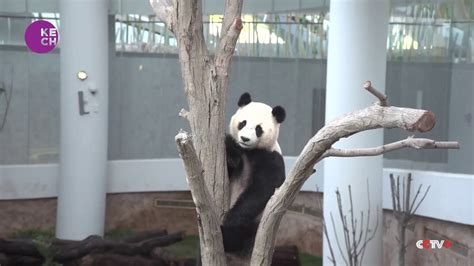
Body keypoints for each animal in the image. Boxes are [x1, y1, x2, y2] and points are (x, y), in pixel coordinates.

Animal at [221, 92, 286, 256]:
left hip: (255, 223)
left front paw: (230, 220)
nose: (244, 139)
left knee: (241, 232)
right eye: (243, 123)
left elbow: (262, 189)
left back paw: (227, 238)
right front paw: (232, 158)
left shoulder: (270, 158)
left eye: (258, 129)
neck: (248, 151)